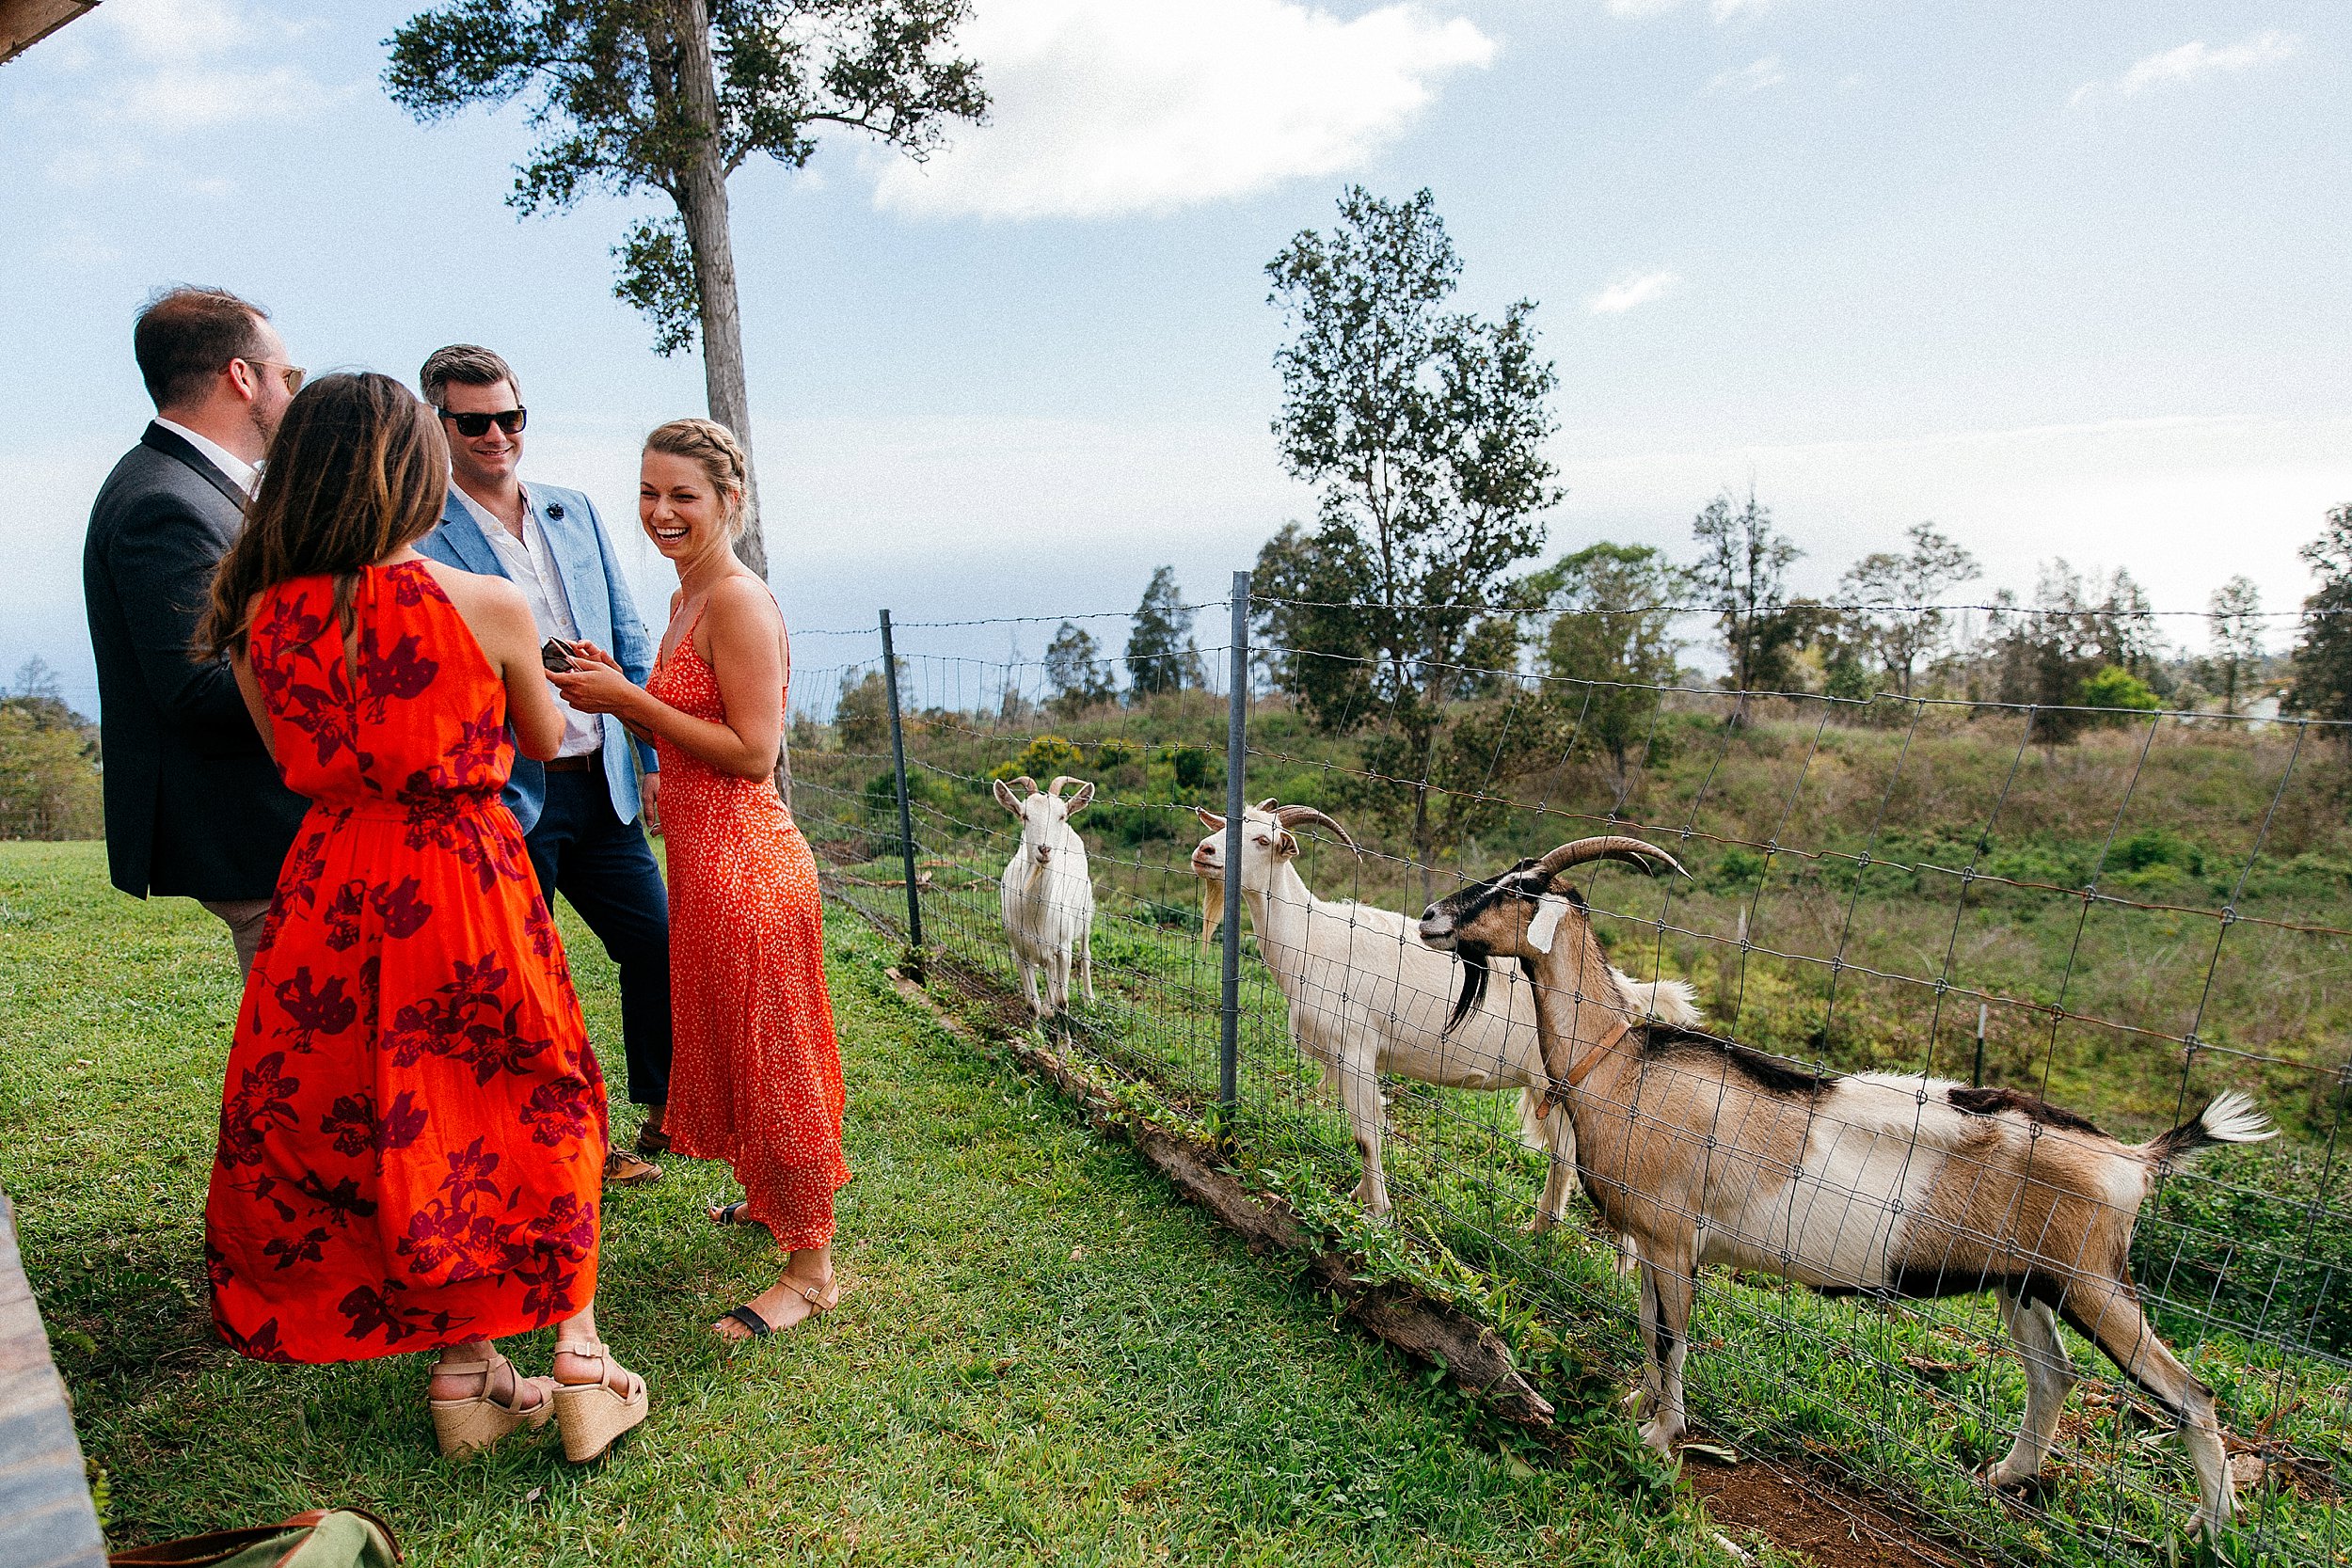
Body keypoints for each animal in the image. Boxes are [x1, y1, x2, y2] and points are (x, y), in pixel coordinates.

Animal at [997, 770, 1096, 1020]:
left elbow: (1062, 1002)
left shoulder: (1063, 948)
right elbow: (1032, 1004)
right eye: (1025, 815)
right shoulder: (1020, 951)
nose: (1044, 849)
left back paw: (1090, 1002)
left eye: (1061, 816)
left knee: (1085, 955)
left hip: (1086, 913)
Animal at [1195, 803, 1693, 1241]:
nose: (1204, 851)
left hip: (1558, 1085)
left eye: (1263, 839)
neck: (1312, 937)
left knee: (1566, 1157)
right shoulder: (1351, 1057)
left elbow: (1364, 1134)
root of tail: (1626, 991)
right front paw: (1360, 1196)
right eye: (1227, 824)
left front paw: (1379, 1215)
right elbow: (1370, 1127)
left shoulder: (1355, 1046)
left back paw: (1541, 1232)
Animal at [1411, 841, 2277, 1542]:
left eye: (1522, 886)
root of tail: (2137, 1157)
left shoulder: (1671, 1234)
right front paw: (1637, 1408)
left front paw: (1663, 1438)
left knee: (2193, 1394)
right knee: (2052, 1376)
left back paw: (2208, 1529)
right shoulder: (1655, 1242)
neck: (1620, 1062)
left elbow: (1671, 1336)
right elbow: (1649, 1327)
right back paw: (2003, 1477)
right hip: (2026, 1281)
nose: (1429, 917)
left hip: (2093, 1278)